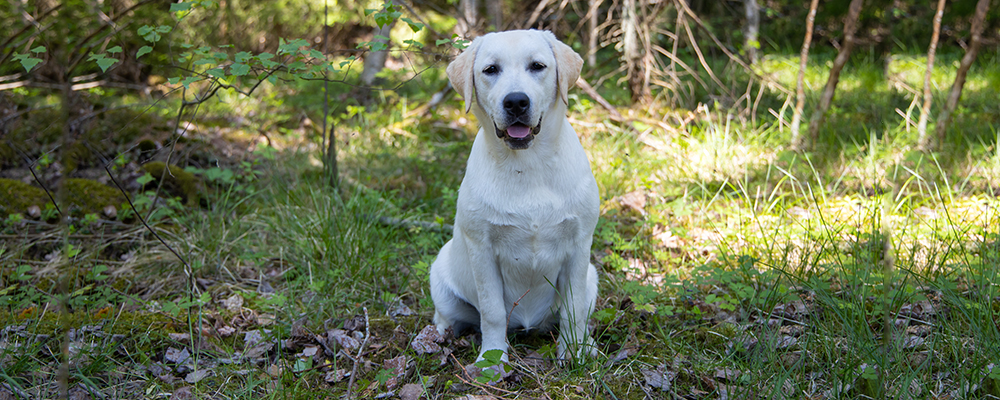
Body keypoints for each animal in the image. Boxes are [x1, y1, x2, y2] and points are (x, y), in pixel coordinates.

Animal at [428, 28, 596, 366]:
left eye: (537, 66)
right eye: (491, 70)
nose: (516, 101)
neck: (527, 165)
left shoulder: (580, 245)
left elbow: (573, 309)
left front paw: (573, 355)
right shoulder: (481, 249)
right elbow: (492, 312)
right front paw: (492, 362)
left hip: (592, 277)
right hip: (440, 277)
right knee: (449, 316)